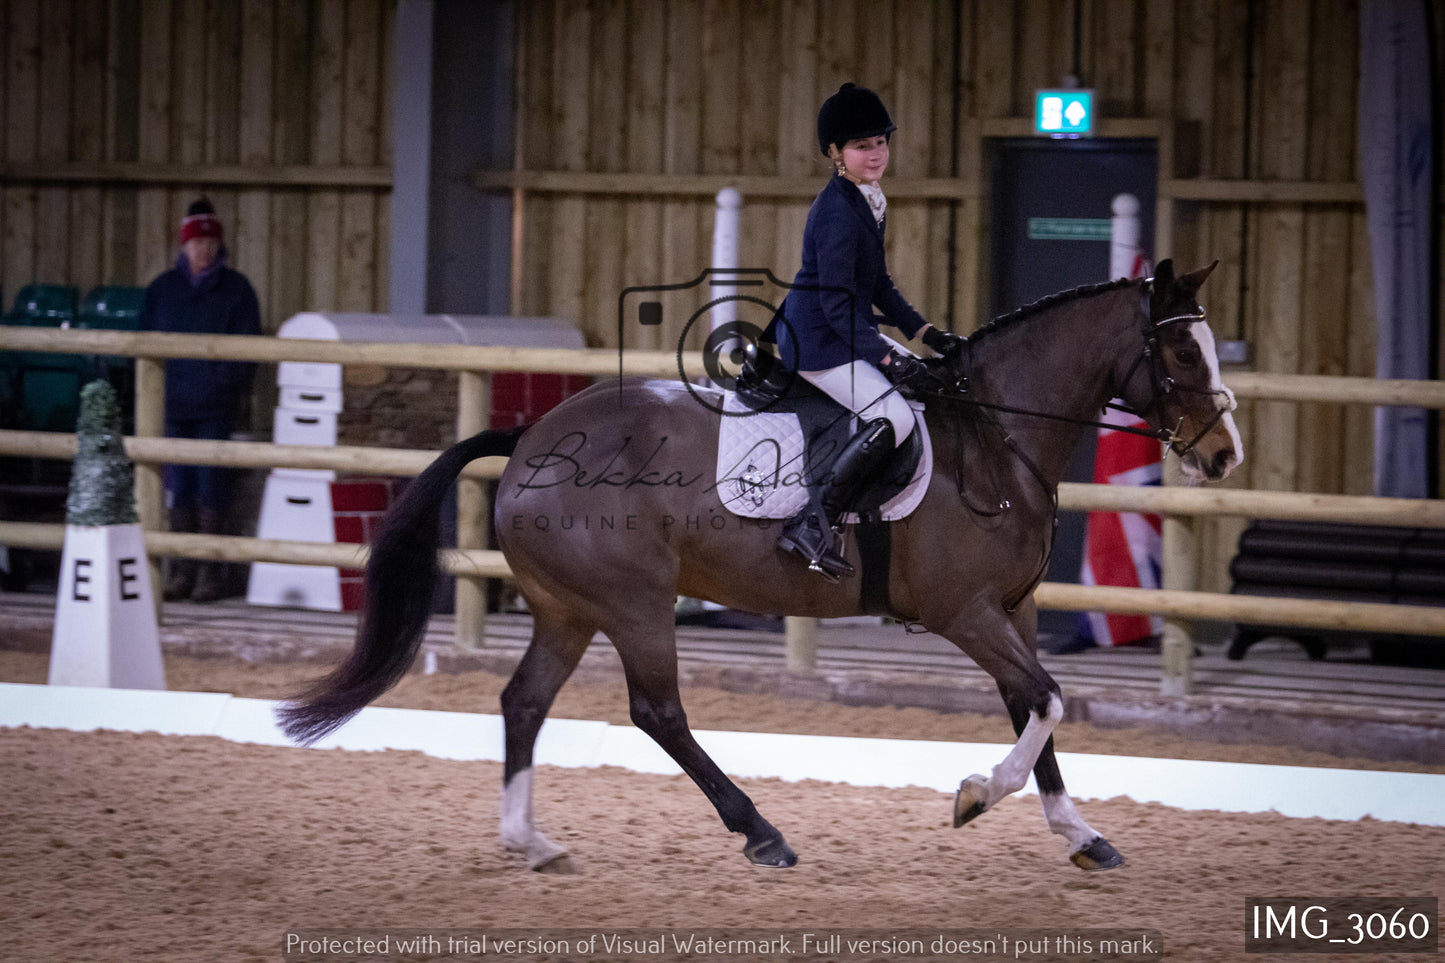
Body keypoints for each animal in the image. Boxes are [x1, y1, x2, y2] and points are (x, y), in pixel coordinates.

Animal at [278, 258, 1242, 873]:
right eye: (1181, 352)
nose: (1223, 454)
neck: (994, 436)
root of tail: (530, 440)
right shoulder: (963, 610)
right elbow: (1043, 698)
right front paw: (973, 796)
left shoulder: (1016, 606)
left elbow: (1033, 705)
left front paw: (1079, 835)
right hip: (633, 603)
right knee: (657, 710)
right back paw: (761, 832)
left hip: (569, 607)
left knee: (524, 702)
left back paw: (532, 843)